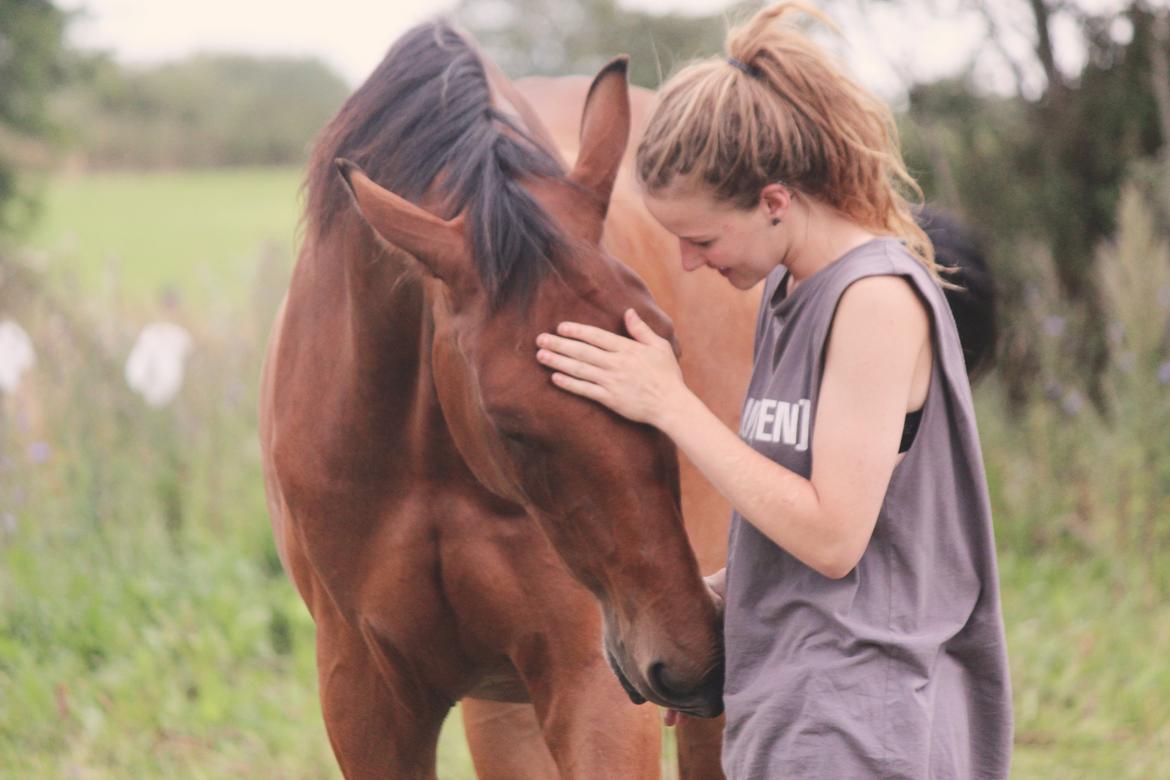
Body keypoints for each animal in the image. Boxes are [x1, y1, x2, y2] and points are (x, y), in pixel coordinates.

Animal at [258, 20, 747, 779]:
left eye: (669, 349)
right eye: (509, 423)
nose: (688, 657)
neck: (426, 459)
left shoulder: (593, 685)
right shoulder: (365, 697)